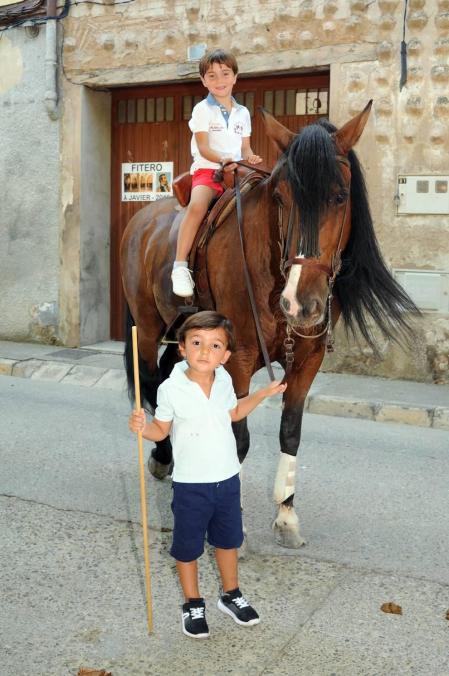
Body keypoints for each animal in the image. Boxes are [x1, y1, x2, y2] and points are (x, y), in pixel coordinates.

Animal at [120, 101, 418, 548]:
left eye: (340, 196)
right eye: (281, 197)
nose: (300, 303)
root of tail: (144, 217)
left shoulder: (308, 359)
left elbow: (290, 431)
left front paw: (287, 517)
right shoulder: (239, 358)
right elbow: (238, 438)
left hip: (184, 328)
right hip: (150, 324)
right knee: (153, 382)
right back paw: (162, 457)